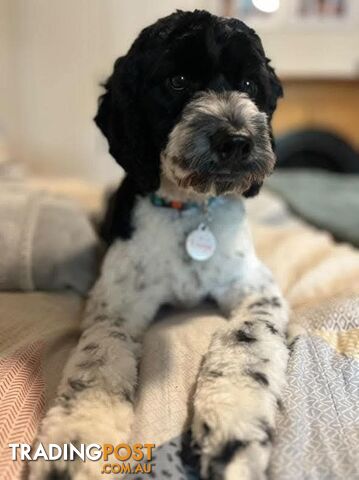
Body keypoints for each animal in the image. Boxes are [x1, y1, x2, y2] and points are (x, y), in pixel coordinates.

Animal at [31, 8, 290, 480]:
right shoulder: (117, 302)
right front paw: (77, 439)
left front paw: (233, 428)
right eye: (178, 81)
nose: (236, 140)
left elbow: (248, 338)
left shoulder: (257, 288)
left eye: (248, 84)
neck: (190, 211)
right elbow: (98, 360)